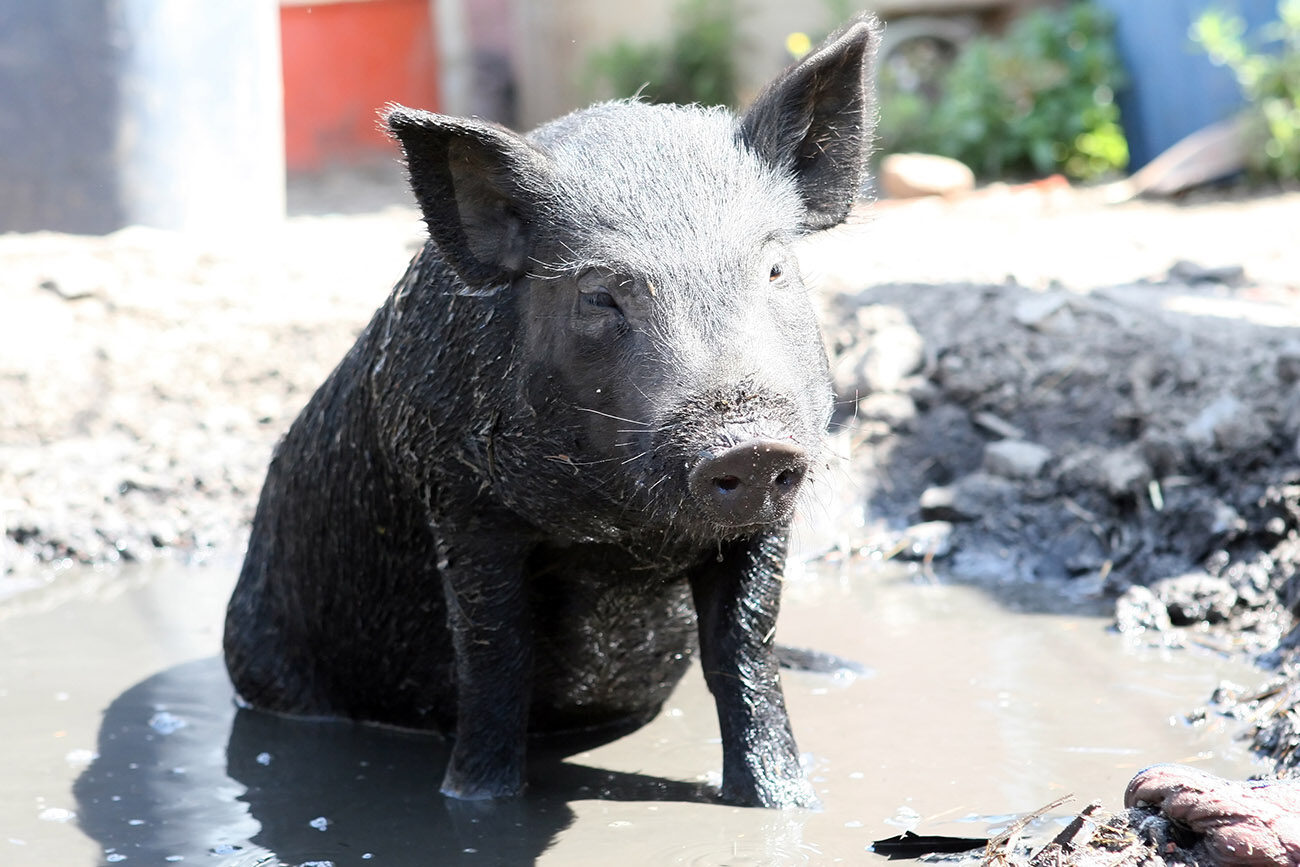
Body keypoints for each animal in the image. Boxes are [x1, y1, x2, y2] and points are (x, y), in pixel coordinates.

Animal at [223, 13, 878, 811]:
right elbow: (495, 653)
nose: (748, 448)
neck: (622, 538)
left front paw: (786, 805)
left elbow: (747, 647)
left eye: (775, 267)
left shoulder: (767, 521)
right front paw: (474, 804)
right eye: (598, 294)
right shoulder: (460, 498)